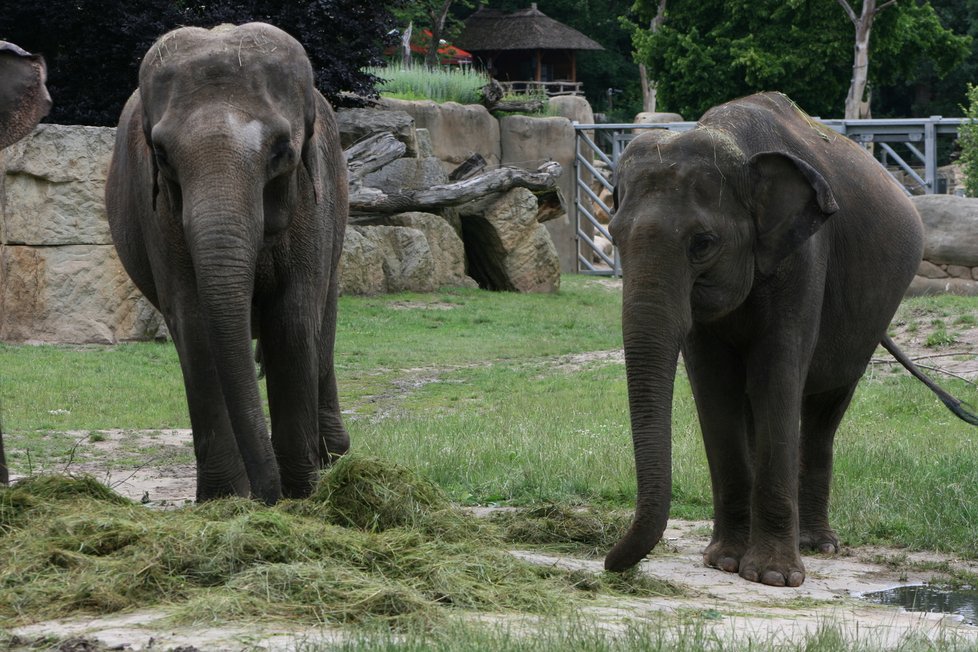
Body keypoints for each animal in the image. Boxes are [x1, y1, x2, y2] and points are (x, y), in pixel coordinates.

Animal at [105, 22, 348, 504]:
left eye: (281, 151)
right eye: (162, 155)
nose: (269, 498)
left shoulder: (315, 201)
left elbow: (292, 319)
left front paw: (302, 495)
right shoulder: (158, 214)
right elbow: (194, 324)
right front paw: (223, 500)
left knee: (322, 320)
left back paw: (334, 455)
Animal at [604, 91, 976, 584]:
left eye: (703, 243)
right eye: (613, 236)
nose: (609, 563)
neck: (732, 141)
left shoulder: (804, 256)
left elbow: (776, 374)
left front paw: (773, 577)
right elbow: (714, 386)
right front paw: (724, 562)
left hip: (870, 320)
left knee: (824, 410)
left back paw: (818, 545)